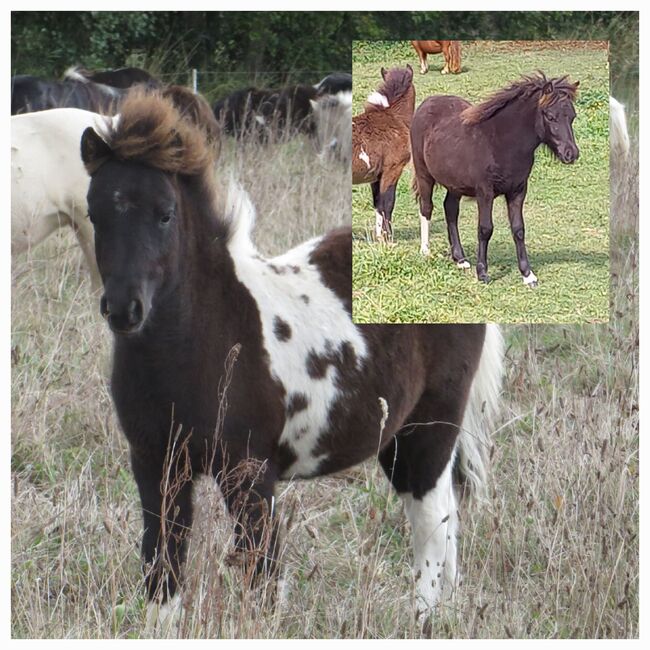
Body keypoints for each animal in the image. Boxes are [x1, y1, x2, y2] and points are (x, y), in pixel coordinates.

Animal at [79, 91, 504, 632]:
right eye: (94, 213)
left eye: (165, 214)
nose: (123, 309)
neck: (204, 342)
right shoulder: (155, 463)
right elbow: (162, 568)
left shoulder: (250, 474)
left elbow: (261, 576)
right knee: (447, 512)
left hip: (429, 424)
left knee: (430, 519)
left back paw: (424, 617)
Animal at [352, 65, 415, 240]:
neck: (393, 118)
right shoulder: (392, 169)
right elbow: (388, 203)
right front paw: (389, 238)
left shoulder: (376, 175)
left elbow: (378, 204)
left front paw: (380, 237)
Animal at [410, 72, 579, 286]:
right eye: (550, 116)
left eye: (572, 116)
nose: (571, 154)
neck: (500, 142)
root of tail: (426, 103)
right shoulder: (485, 192)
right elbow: (485, 229)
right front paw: (482, 273)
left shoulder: (518, 191)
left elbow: (518, 229)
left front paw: (528, 275)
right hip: (424, 173)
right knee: (426, 207)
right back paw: (425, 251)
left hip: (454, 184)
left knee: (450, 210)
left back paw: (460, 259)